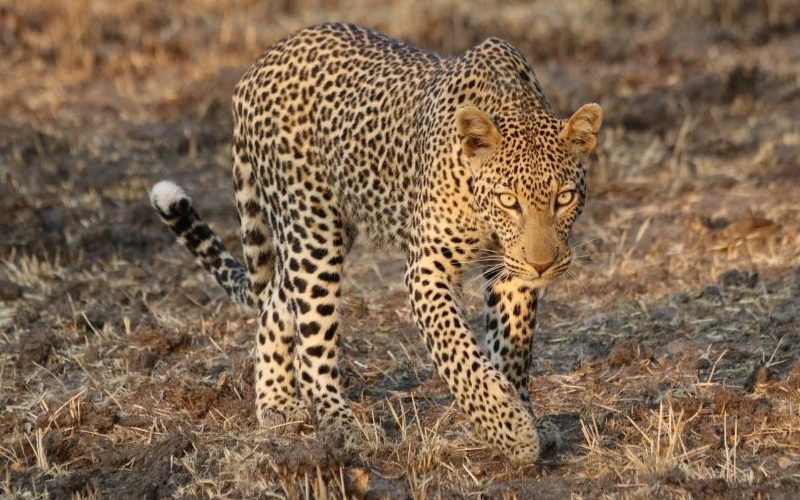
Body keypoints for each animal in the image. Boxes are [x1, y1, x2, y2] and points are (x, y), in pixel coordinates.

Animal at [148, 21, 600, 462]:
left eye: (564, 198)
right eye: (509, 200)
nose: (543, 264)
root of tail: (255, 68)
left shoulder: (511, 271)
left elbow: (511, 348)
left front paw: (525, 416)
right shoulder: (428, 268)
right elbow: (458, 352)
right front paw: (512, 432)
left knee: (276, 305)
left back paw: (276, 404)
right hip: (313, 232)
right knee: (311, 339)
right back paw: (342, 426)